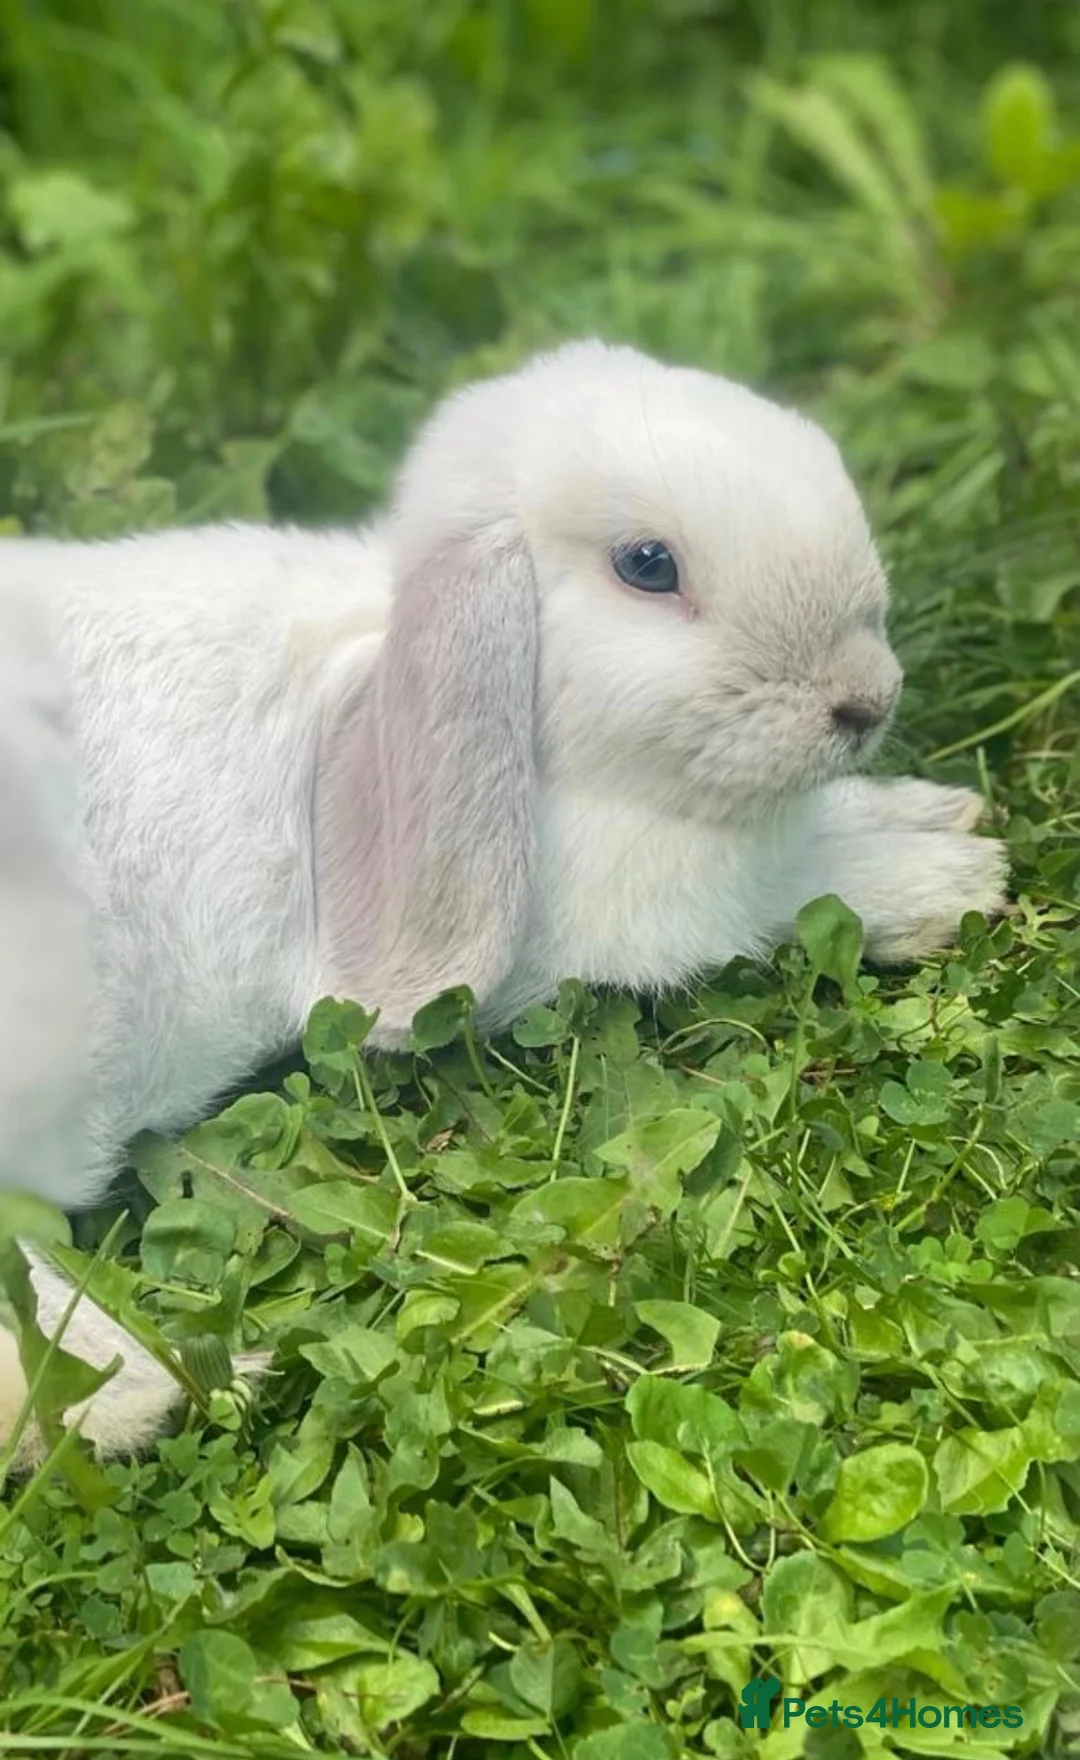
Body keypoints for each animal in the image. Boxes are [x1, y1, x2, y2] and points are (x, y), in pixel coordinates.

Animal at [0, 338, 1008, 1467]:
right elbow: (788, 889)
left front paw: (934, 814)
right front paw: (950, 879)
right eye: (647, 565)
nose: (865, 700)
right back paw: (137, 1388)